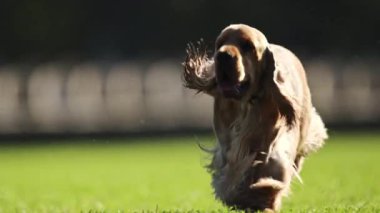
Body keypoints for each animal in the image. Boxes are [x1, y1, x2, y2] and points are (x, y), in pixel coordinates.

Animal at [183, 23, 328, 211]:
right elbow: (232, 171)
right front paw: (242, 196)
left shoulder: (272, 141)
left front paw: (264, 194)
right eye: (219, 43)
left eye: (248, 46)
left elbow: (270, 166)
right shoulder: (228, 145)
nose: (222, 55)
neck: (245, 105)